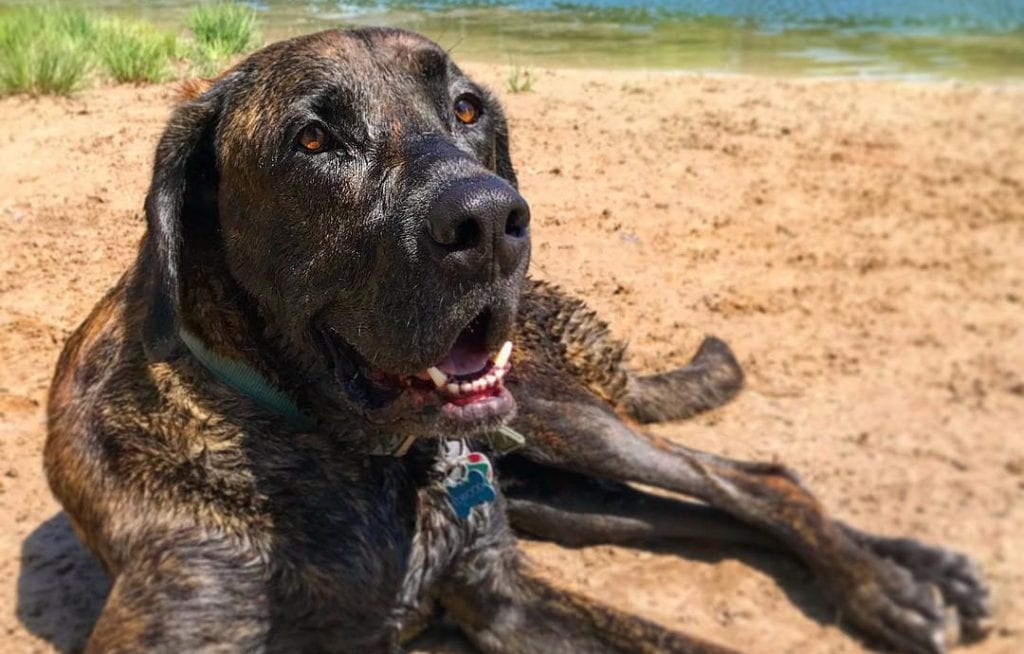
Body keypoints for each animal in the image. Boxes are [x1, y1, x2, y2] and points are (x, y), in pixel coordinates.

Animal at [48, 26, 991, 654]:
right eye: (313, 138)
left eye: (467, 109)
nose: (493, 221)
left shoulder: (504, 597)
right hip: (563, 491)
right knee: (719, 506)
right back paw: (920, 577)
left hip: (560, 420)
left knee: (753, 481)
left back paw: (894, 583)